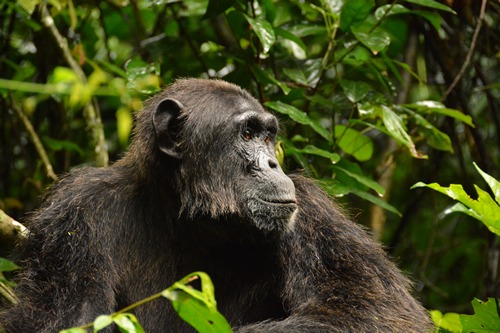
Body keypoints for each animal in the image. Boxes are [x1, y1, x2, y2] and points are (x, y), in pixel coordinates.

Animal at [0, 79, 432, 330]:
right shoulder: (75, 216)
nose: (273, 163)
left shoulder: (315, 218)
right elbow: (60, 319)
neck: (189, 219)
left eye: (268, 136)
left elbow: (372, 310)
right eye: (247, 133)